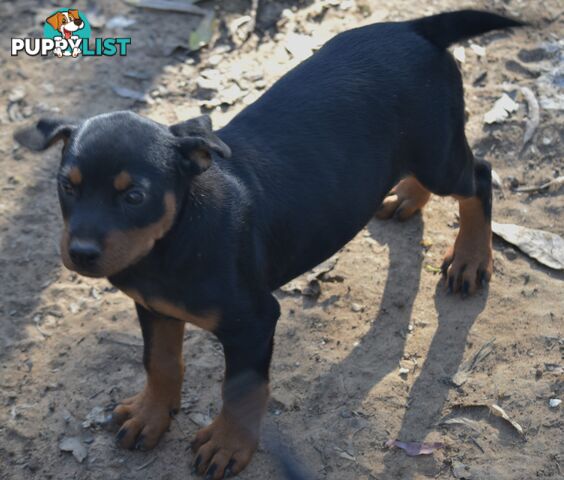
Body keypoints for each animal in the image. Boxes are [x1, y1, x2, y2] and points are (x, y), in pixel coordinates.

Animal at [15, 9, 524, 478]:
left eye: (134, 196)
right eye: (67, 187)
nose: (81, 253)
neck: (174, 238)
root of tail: (414, 27)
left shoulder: (254, 321)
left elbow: (241, 389)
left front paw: (228, 445)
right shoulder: (152, 307)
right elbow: (160, 362)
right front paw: (150, 415)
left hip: (439, 151)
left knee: (479, 177)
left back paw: (470, 260)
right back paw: (406, 197)